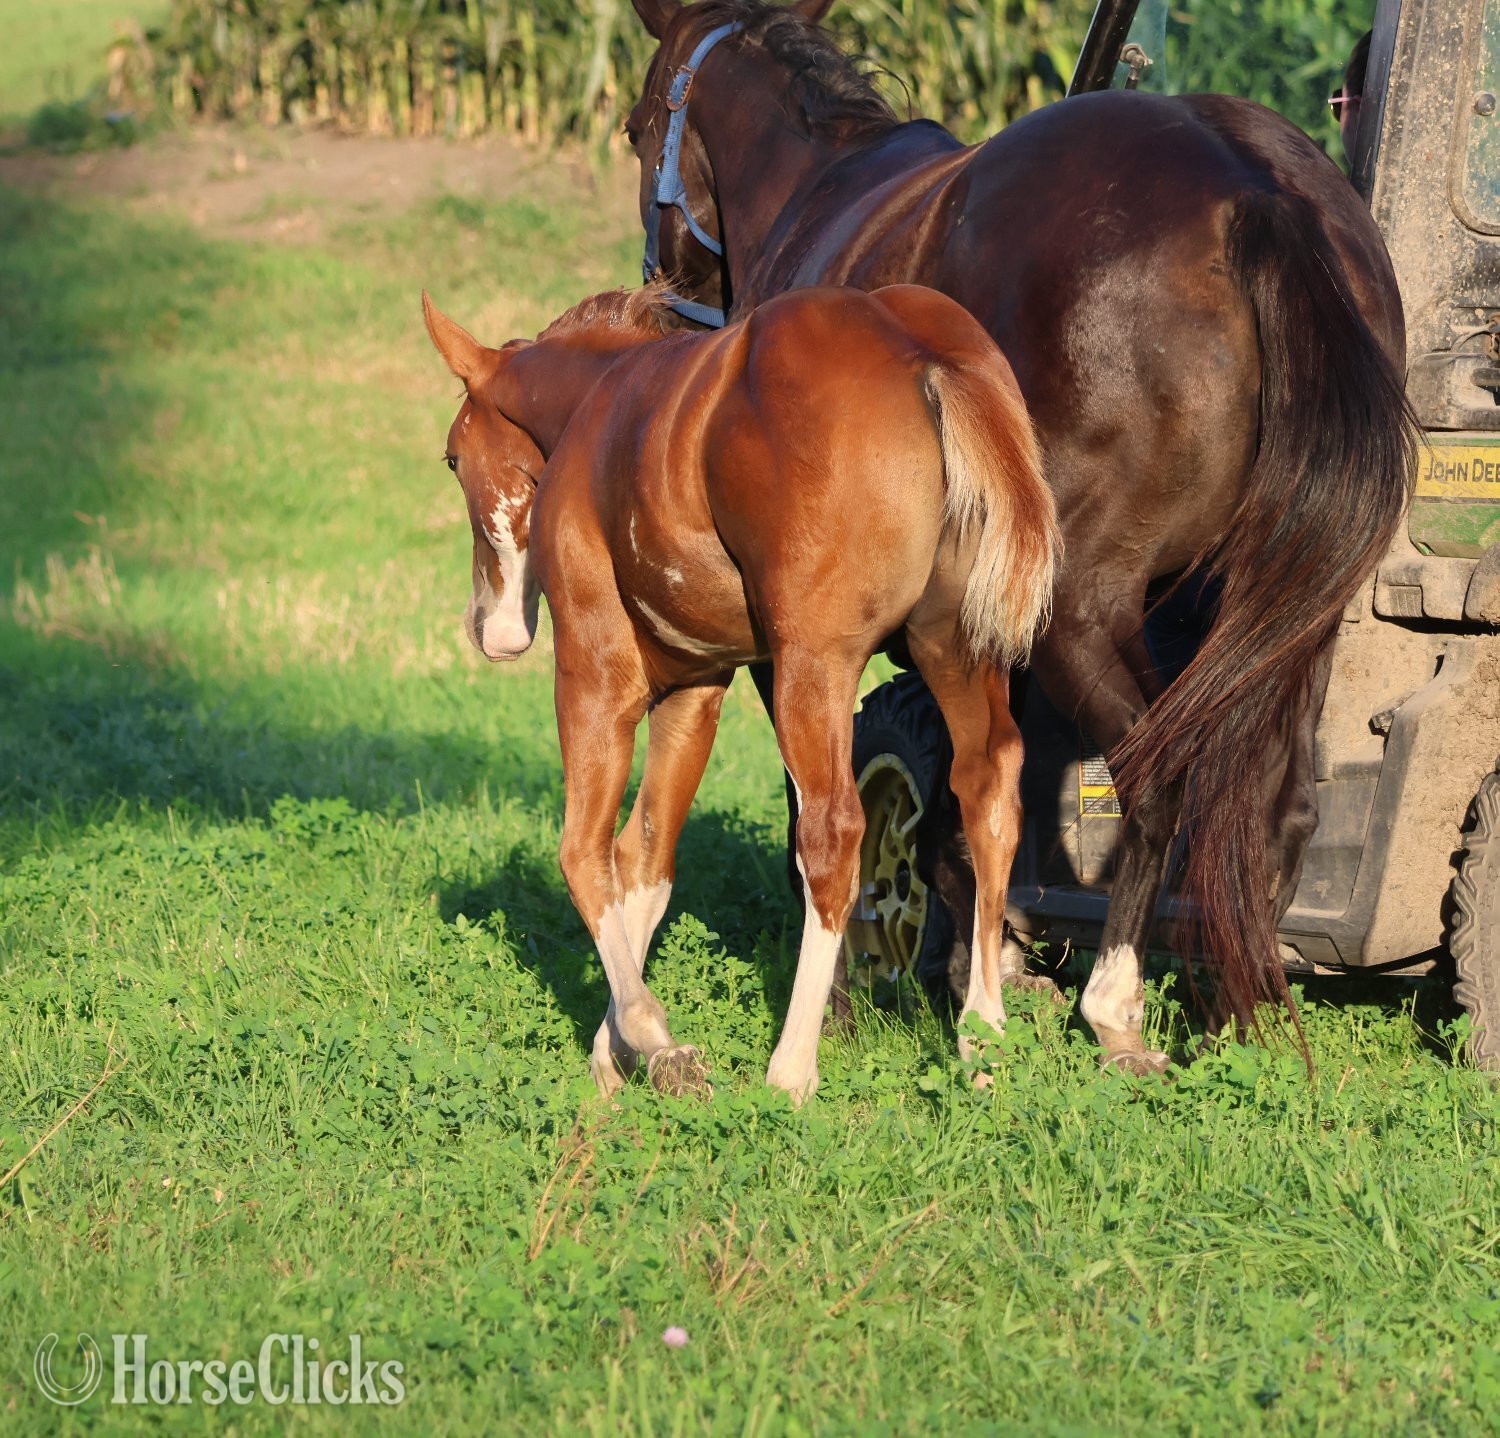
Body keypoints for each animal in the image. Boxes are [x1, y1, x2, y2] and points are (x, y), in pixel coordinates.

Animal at [423, 280, 1059, 1101]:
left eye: (452, 458)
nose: (489, 629)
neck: (599, 408)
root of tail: (920, 348)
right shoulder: (697, 689)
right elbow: (646, 858)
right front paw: (616, 1050)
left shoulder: (596, 674)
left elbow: (585, 853)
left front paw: (649, 1038)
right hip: (955, 649)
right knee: (987, 789)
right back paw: (983, 1037)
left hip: (811, 667)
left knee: (832, 831)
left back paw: (791, 1068)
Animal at [623, 0, 1418, 1068]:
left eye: (635, 127)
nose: (666, 300)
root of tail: (1253, 189)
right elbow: (978, 795)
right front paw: (979, 966)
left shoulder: (808, 634)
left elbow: (826, 804)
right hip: (1286, 623)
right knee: (1274, 803)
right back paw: (1230, 1016)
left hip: (1082, 608)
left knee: (1160, 780)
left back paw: (1118, 1007)